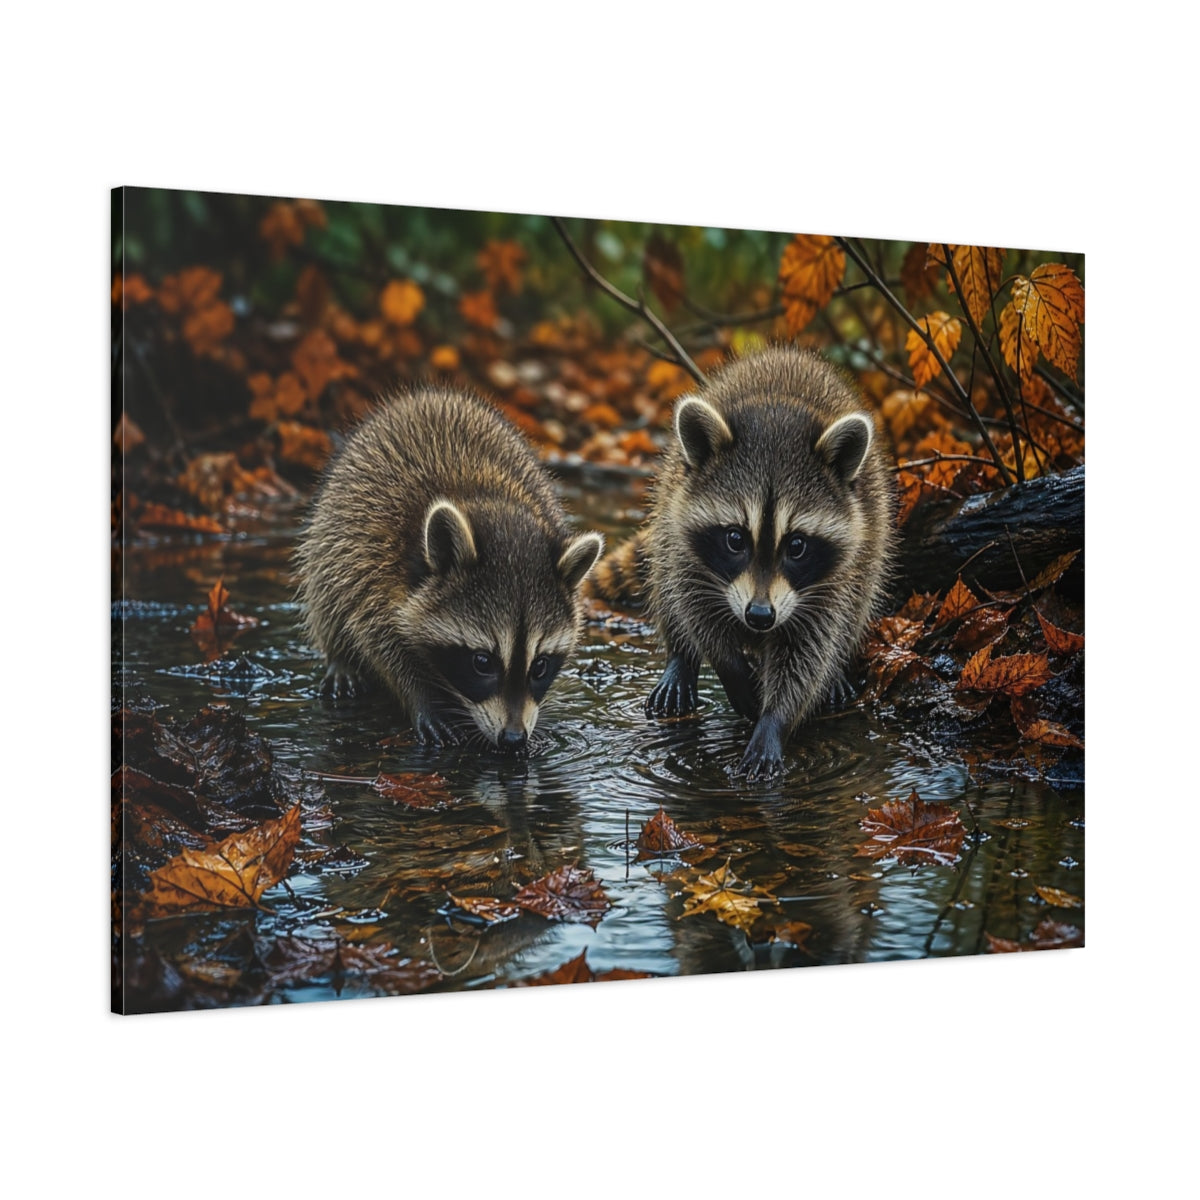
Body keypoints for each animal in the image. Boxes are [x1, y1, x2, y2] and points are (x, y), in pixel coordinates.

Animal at [295, 386, 603, 754]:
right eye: (482, 662)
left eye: (540, 666)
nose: (513, 739)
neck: (487, 501)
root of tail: (429, 395)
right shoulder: (372, 570)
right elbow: (379, 643)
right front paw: (422, 698)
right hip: (331, 532)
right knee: (326, 593)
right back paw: (340, 657)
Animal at [615, 346, 895, 780]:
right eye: (735, 539)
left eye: (796, 545)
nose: (760, 616)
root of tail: (789, 354)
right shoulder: (689, 554)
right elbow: (697, 611)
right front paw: (729, 669)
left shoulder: (831, 583)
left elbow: (808, 649)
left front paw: (773, 721)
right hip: (668, 502)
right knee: (664, 579)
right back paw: (680, 658)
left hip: (872, 535)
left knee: (859, 602)